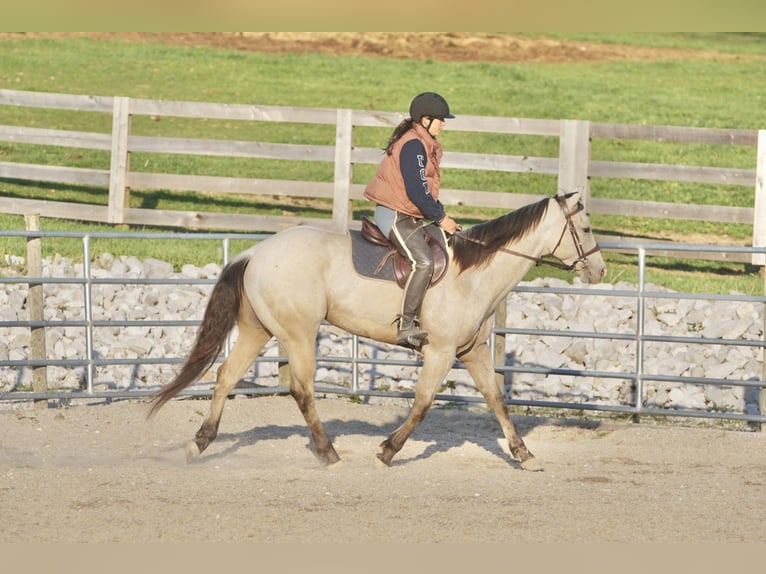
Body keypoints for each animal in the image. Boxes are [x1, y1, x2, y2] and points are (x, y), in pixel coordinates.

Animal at [147, 191, 606, 471]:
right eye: (584, 229)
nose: (600, 270)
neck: (473, 275)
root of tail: (255, 252)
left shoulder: (472, 352)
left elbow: (497, 401)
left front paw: (524, 454)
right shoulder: (440, 353)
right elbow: (421, 405)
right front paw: (387, 450)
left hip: (259, 330)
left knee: (225, 377)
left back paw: (200, 443)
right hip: (298, 334)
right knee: (302, 390)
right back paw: (328, 453)